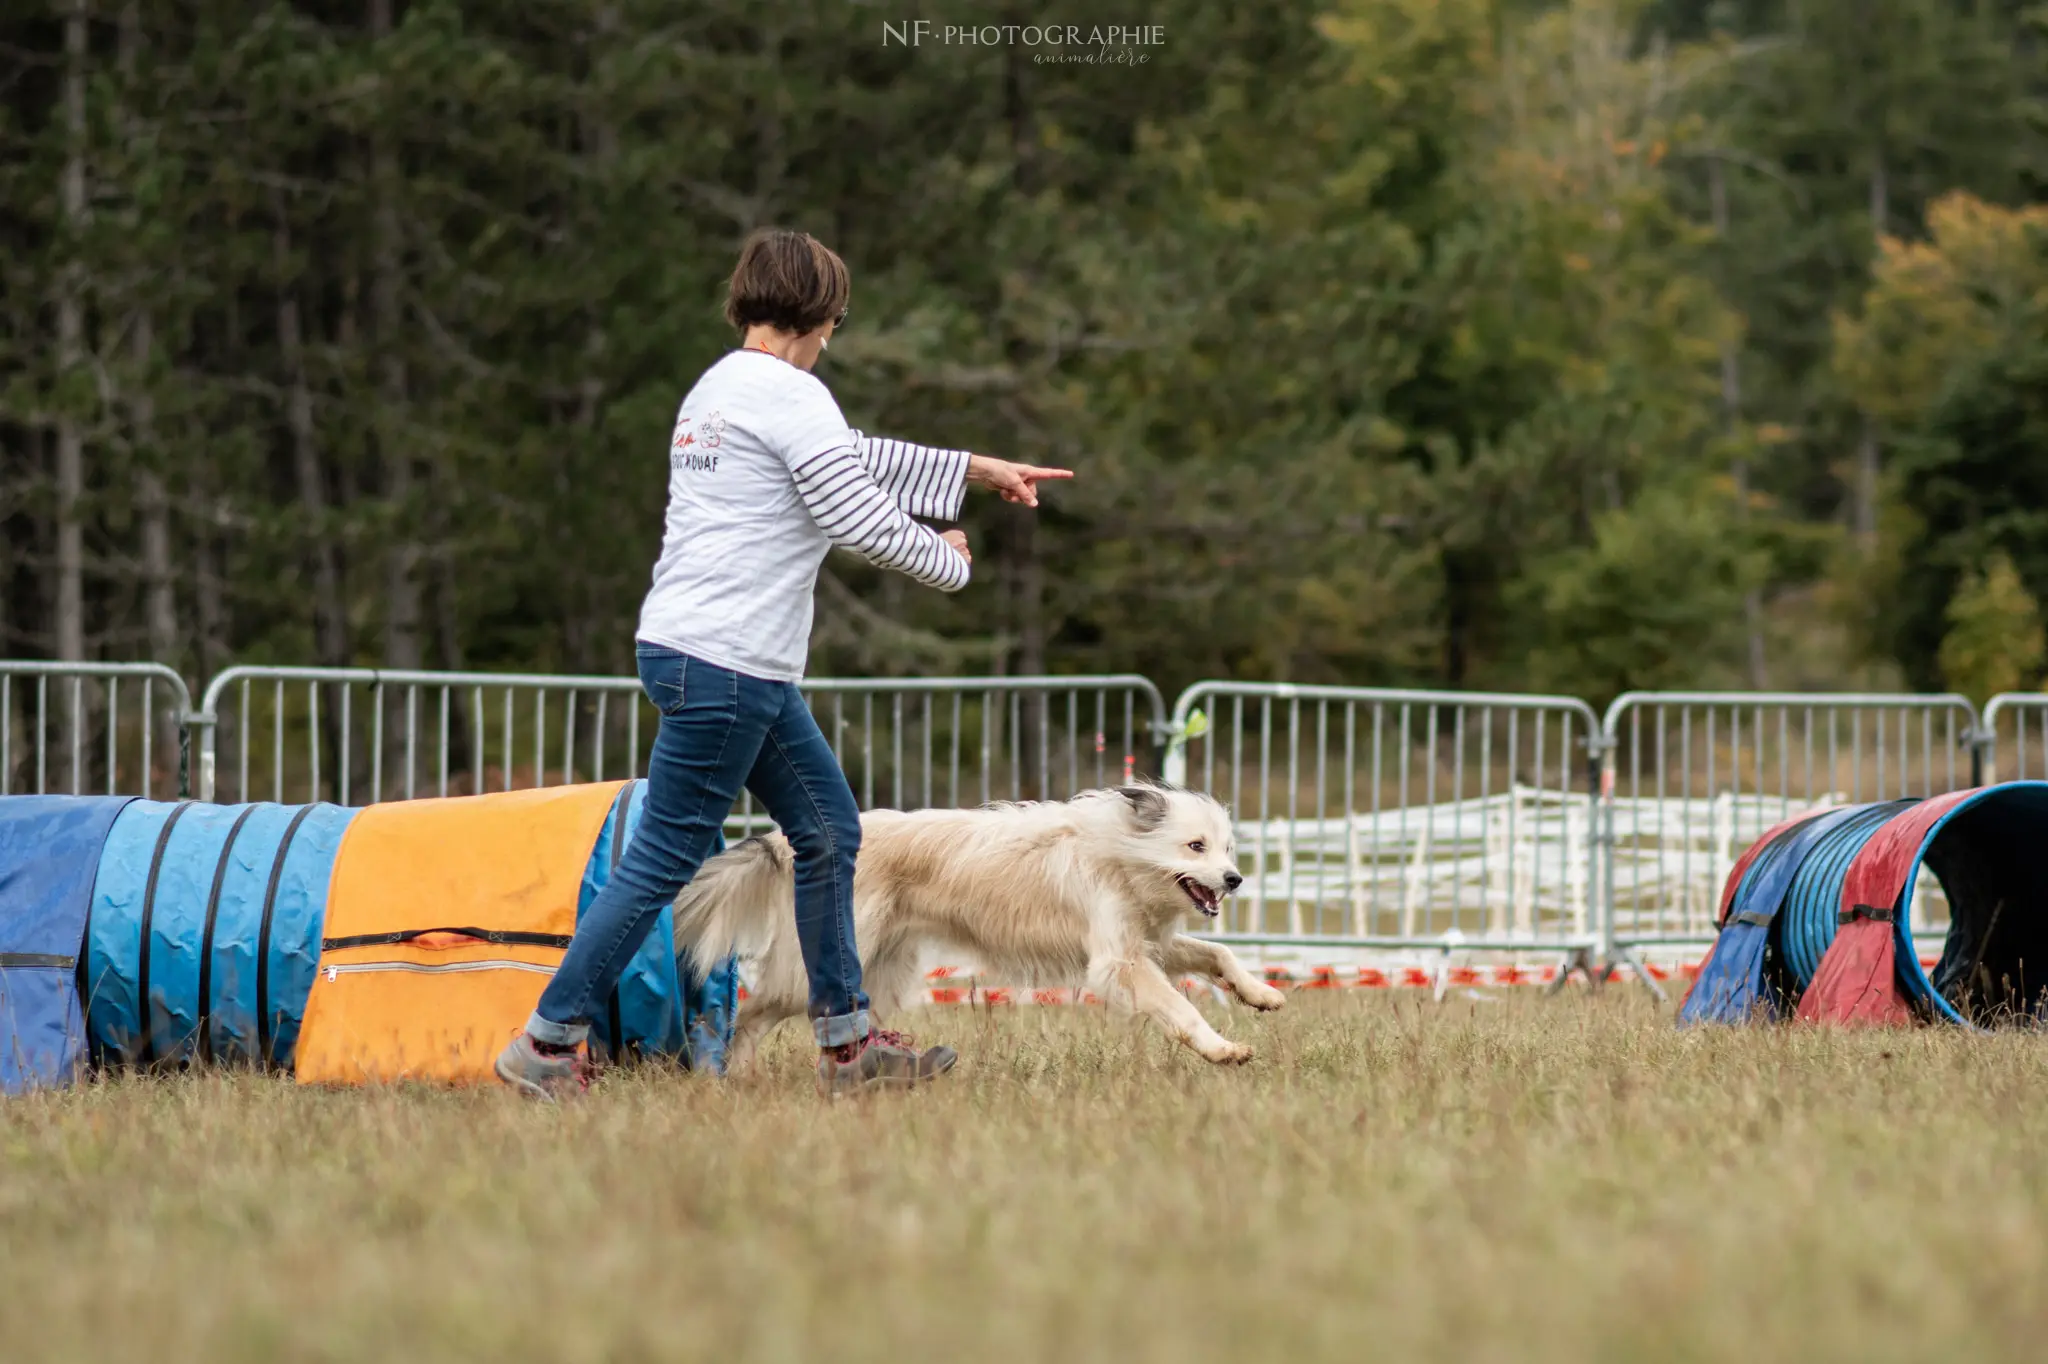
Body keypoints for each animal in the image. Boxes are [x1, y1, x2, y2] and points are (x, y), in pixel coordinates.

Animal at [675, 786, 1277, 1064]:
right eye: (1195, 846)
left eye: (1226, 848)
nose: (1235, 879)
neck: (1120, 853)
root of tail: (788, 840)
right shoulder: (1119, 961)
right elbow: (1180, 1006)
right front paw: (1222, 1049)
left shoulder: (1148, 943)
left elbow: (1218, 955)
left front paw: (1261, 994)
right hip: (813, 969)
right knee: (751, 1012)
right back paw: (735, 1071)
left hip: (879, 971)